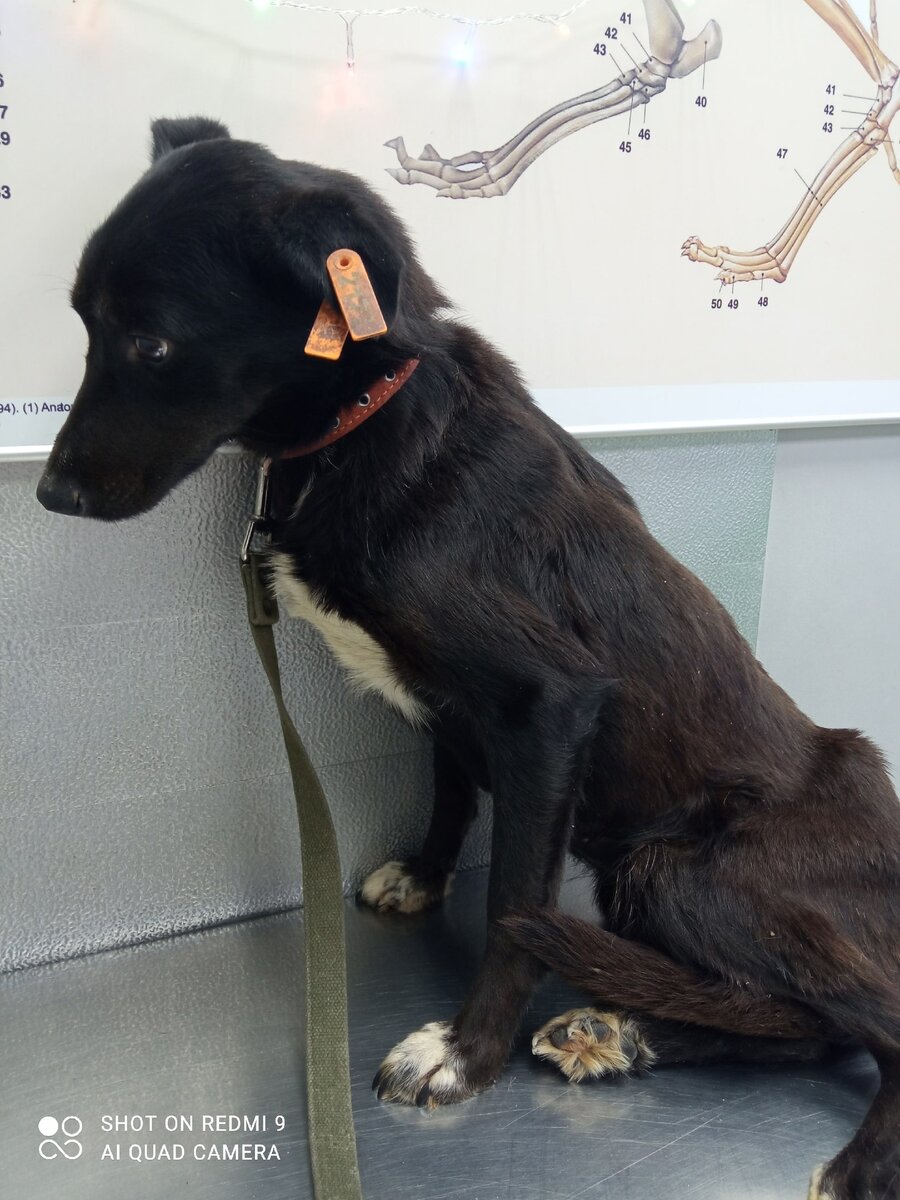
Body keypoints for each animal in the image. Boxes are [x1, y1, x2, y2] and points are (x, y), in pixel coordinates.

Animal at [37, 117, 900, 1200]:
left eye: (151, 342)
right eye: (82, 326)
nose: (50, 495)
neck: (362, 422)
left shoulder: (548, 707)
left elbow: (512, 904)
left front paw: (464, 1052)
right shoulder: (450, 706)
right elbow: (446, 792)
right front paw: (422, 874)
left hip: (676, 870)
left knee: (866, 1020)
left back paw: (856, 1152)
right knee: (804, 1026)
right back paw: (620, 1034)